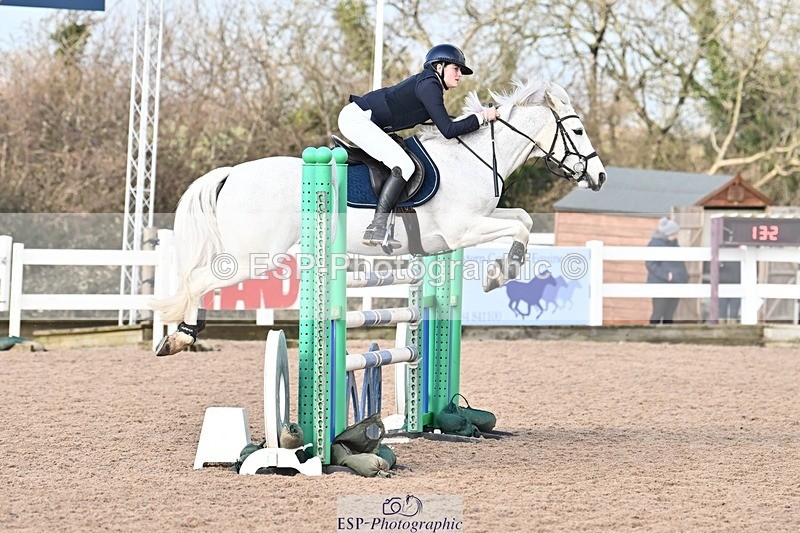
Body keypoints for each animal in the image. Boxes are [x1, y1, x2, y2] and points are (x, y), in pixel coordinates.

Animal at [152, 78, 606, 355]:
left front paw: (503, 270)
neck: (472, 158)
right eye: (578, 131)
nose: (600, 176)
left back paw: (180, 336)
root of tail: (232, 172)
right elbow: (518, 226)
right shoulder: (462, 230)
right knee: (199, 280)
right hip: (252, 254)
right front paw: (500, 273)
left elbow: (524, 219)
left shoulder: (478, 221)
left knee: (199, 280)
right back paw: (180, 338)